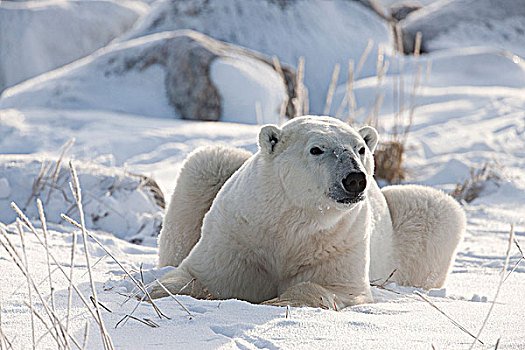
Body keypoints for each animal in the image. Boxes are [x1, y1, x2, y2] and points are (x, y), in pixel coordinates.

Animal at [151, 115, 462, 308]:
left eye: (360, 148)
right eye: (317, 149)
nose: (355, 179)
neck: (293, 219)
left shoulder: (339, 242)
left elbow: (329, 287)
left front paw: (279, 300)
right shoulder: (239, 235)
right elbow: (200, 274)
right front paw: (152, 292)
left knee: (438, 209)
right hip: (212, 172)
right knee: (207, 161)